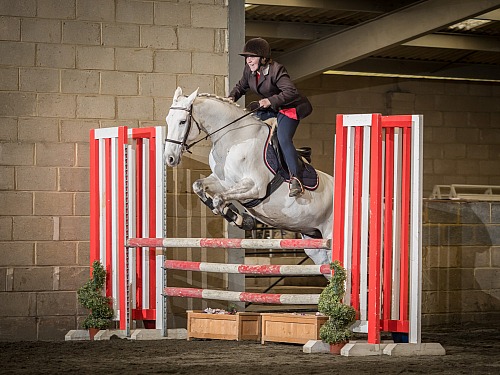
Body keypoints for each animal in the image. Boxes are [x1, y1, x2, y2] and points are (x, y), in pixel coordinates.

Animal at [164, 86, 334, 266]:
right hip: (314, 241)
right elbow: (199, 186)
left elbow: (218, 199)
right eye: (168, 120)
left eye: (182, 121)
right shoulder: (223, 183)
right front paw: (239, 218)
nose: (169, 158)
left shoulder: (255, 187)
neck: (234, 141)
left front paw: (238, 218)